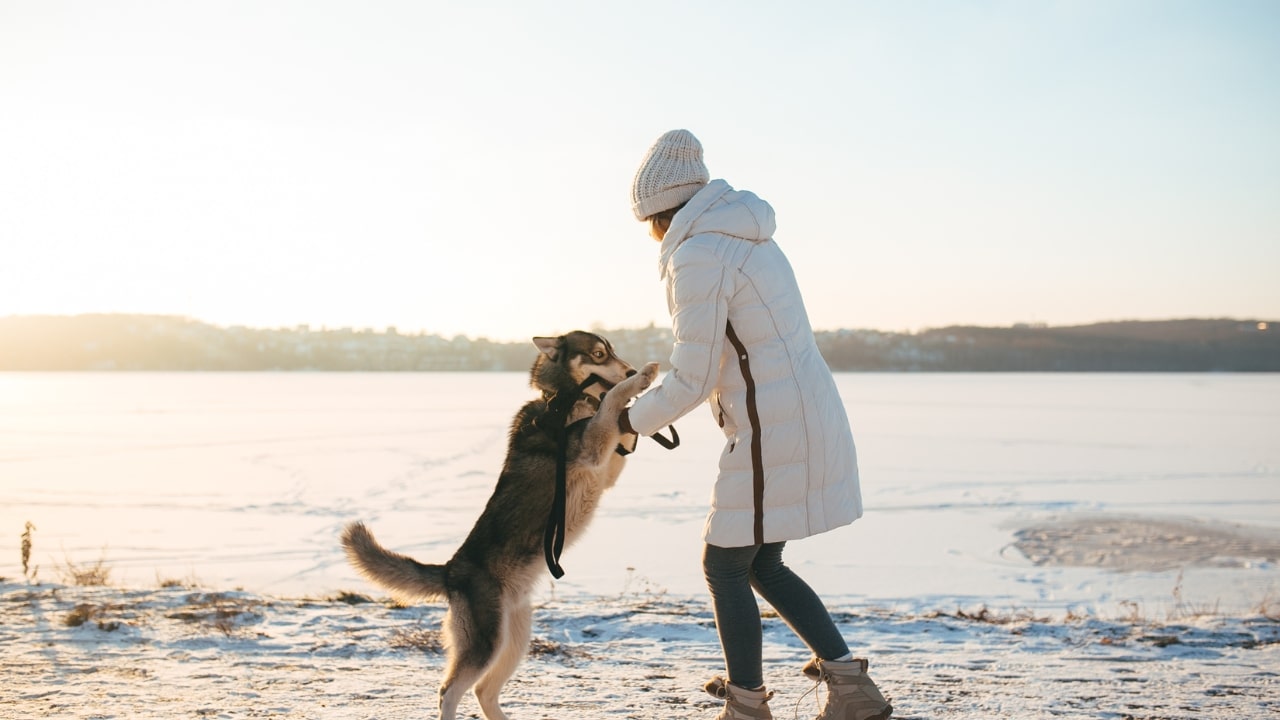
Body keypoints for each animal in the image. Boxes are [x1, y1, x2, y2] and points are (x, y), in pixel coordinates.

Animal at [343, 330, 660, 717]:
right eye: (599, 354)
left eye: (612, 350)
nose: (629, 367)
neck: (561, 400)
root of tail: (451, 570)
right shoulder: (591, 447)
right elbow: (612, 401)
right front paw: (640, 379)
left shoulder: (606, 467)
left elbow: (620, 428)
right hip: (485, 642)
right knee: (449, 691)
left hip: (514, 638)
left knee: (483, 691)